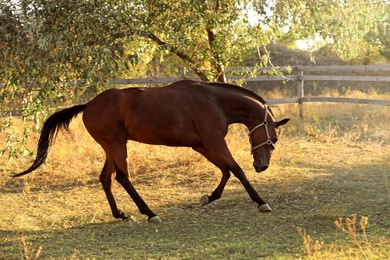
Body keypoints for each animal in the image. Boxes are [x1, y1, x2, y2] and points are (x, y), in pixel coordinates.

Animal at [13, 79, 288, 221]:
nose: (262, 165)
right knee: (122, 177)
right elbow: (236, 170)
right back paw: (149, 213)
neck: (214, 101)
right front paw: (261, 202)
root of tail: (88, 105)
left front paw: (208, 197)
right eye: (273, 138)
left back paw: (121, 214)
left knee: (105, 178)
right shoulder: (213, 142)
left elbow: (226, 171)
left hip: (111, 146)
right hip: (116, 144)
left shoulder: (202, 146)